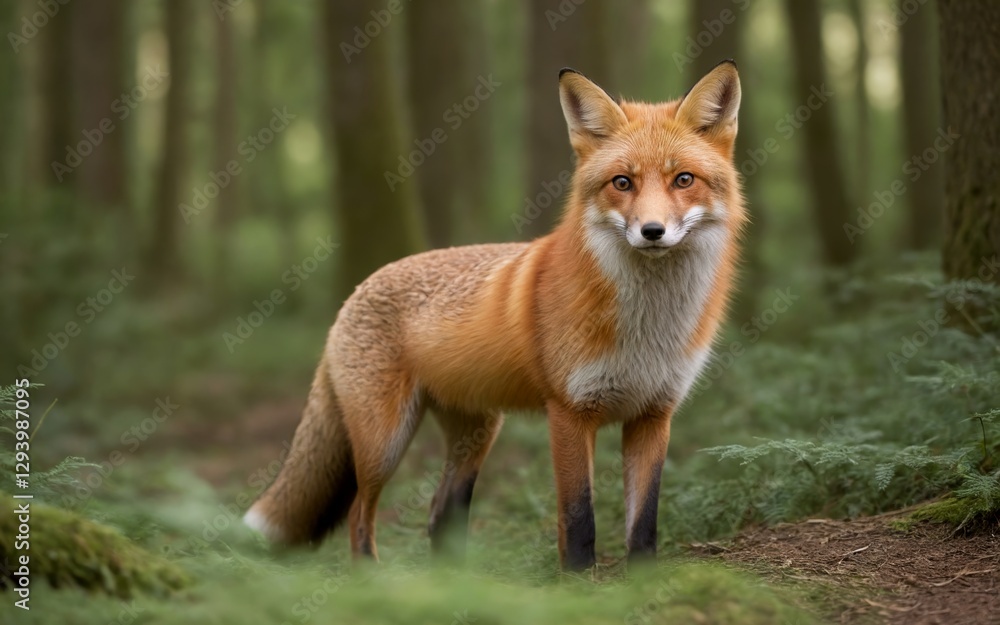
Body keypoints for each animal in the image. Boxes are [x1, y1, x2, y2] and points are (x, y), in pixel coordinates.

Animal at [244, 60, 746, 571]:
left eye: (683, 179)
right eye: (622, 182)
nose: (652, 231)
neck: (649, 326)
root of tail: (355, 292)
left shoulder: (653, 415)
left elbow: (644, 524)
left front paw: (644, 582)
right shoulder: (568, 412)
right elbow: (579, 521)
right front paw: (578, 582)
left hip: (476, 433)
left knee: (439, 514)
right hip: (384, 440)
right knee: (358, 515)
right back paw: (373, 577)